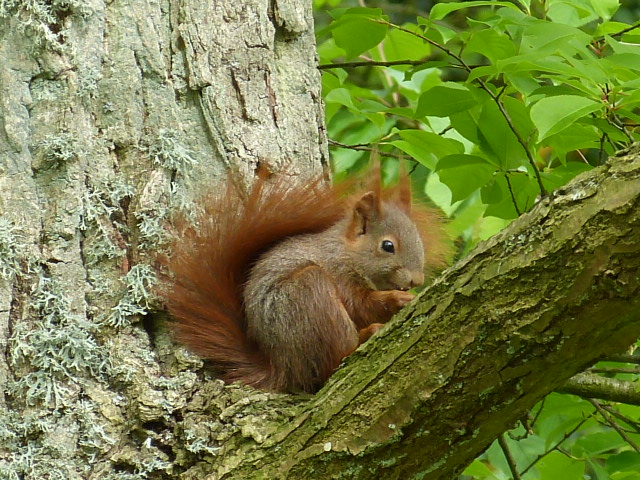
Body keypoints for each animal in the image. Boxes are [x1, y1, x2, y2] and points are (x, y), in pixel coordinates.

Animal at [161, 165, 450, 394]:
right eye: (388, 246)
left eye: (419, 240)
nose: (416, 280)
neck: (347, 252)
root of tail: (282, 367)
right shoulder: (337, 274)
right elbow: (359, 305)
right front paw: (397, 298)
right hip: (309, 294)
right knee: (333, 362)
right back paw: (363, 337)